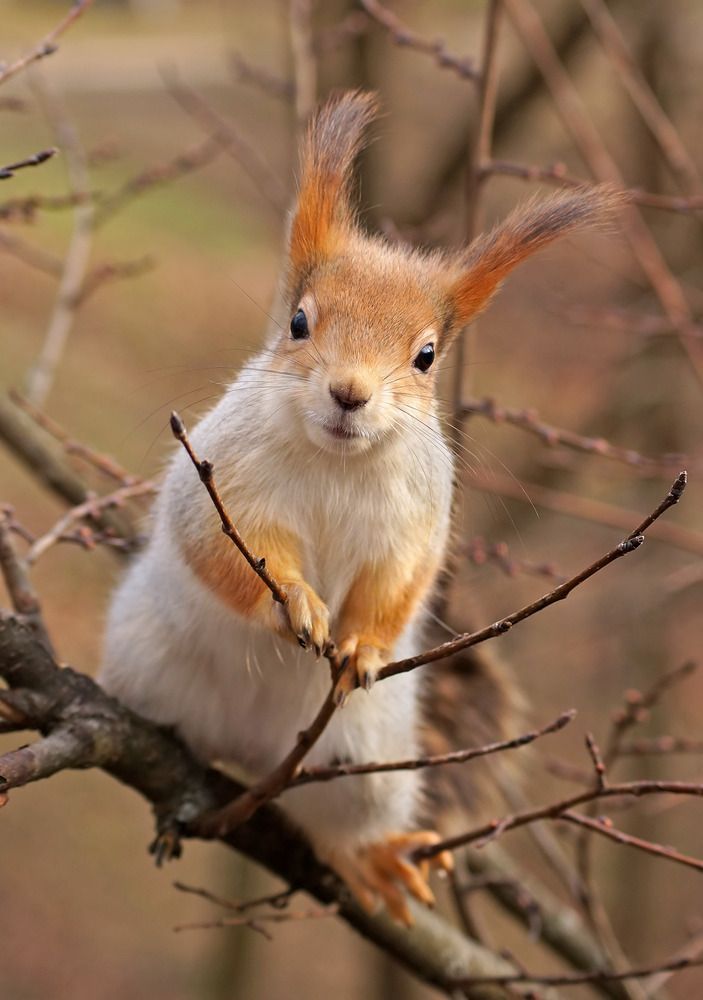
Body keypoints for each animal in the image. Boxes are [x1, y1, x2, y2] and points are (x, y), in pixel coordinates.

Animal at [100, 91, 616, 925]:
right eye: (298, 322)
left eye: (427, 356)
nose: (349, 393)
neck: (338, 463)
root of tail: (251, 752)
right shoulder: (220, 484)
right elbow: (219, 549)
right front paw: (297, 604)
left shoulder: (418, 521)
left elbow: (400, 582)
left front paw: (363, 646)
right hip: (149, 671)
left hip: (363, 763)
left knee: (340, 822)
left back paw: (372, 858)